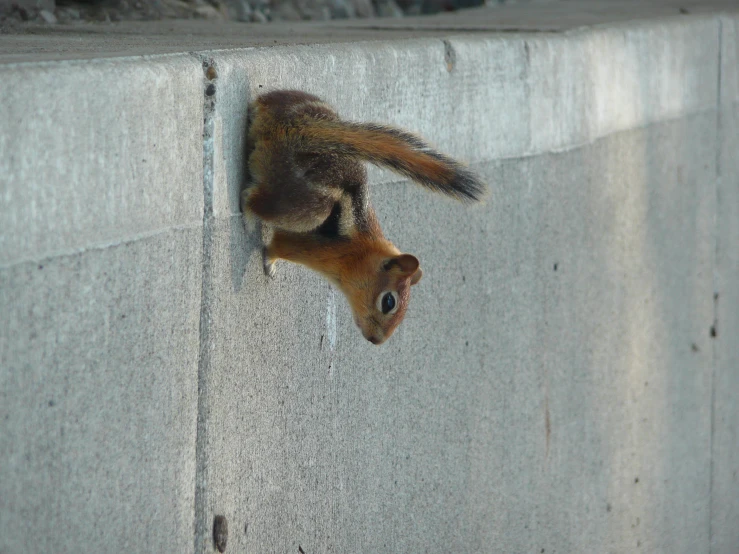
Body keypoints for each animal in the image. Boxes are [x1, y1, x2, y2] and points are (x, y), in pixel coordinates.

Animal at [243, 88, 486, 342]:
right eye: (389, 302)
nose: (376, 341)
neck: (361, 250)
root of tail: (300, 129)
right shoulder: (305, 247)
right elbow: (276, 248)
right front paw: (269, 262)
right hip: (309, 207)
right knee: (252, 199)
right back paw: (248, 216)